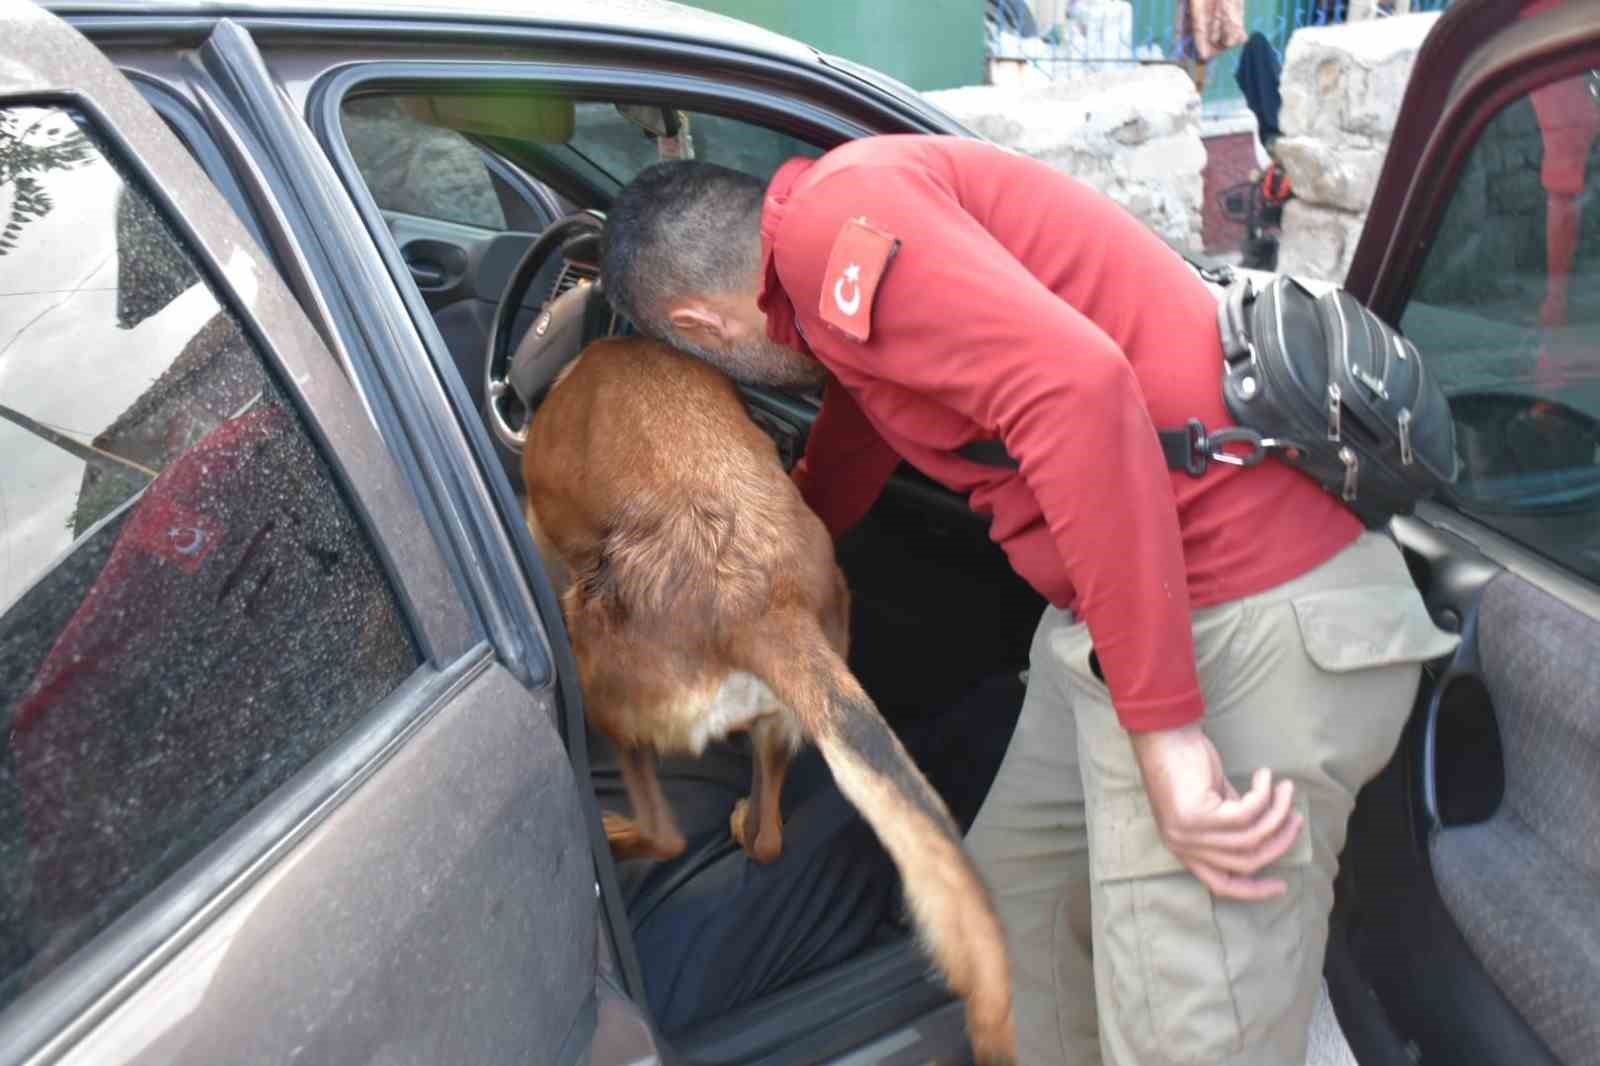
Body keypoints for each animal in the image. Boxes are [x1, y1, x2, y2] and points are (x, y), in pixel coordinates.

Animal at [528, 336, 1024, 1056]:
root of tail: (763, 603)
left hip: (601, 677)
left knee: (667, 835)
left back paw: (620, 837)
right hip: (785, 721)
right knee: (767, 840)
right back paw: (744, 821)